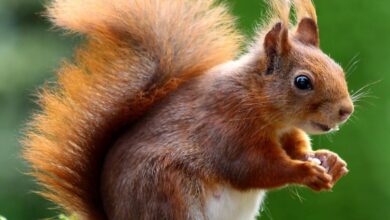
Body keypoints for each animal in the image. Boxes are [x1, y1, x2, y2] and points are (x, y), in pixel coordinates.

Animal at [23, 0, 354, 219]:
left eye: (337, 67)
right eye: (302, 81)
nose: (346, 110)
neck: (257, 101)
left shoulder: (285, 131)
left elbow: (296, 146)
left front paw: (329, 160)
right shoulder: (227, 127)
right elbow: (254, 168)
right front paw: (304, 171)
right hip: (166, 194)